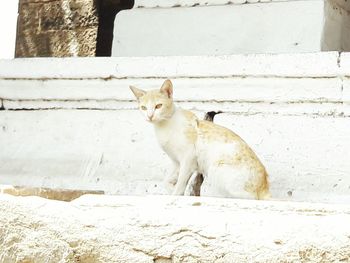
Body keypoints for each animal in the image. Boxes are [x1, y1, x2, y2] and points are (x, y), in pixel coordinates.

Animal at [130, 80, 270, 200]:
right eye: (143, 108)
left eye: (158, 106)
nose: (150, 116)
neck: (163, 126)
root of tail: (265, 186)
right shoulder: (176, 161)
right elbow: (167, 180)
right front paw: (170, 189)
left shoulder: (188, 158)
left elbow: (181, 182)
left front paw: (176, 194)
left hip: (215, 168)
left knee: (250, 198)